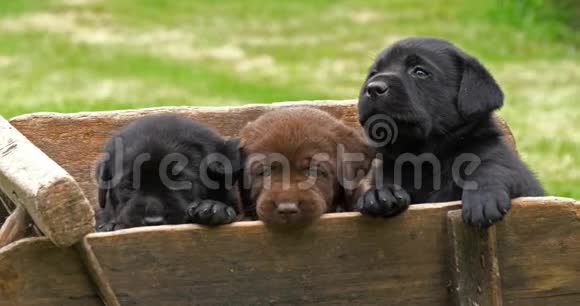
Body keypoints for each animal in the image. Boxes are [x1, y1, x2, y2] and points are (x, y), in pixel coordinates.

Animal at [358, 37, 544, 226]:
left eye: (420, 72)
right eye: (373, 73)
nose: (373, 88)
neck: (426, 159)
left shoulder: (510, 169)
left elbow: (491, 167)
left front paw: (483, 198)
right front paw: (381, 193)